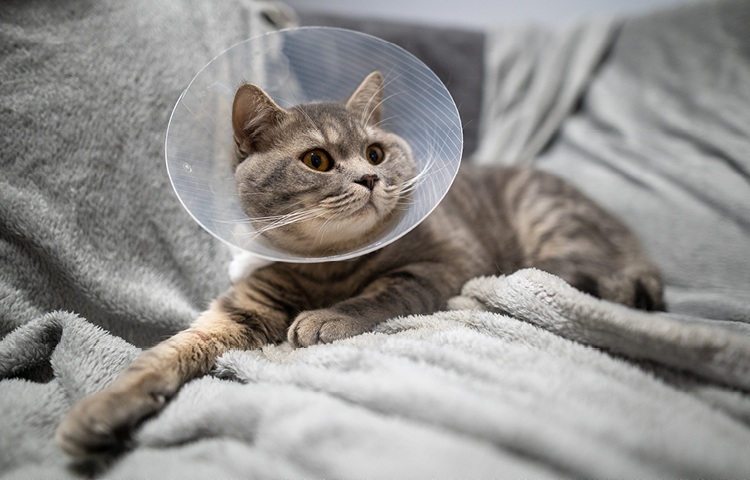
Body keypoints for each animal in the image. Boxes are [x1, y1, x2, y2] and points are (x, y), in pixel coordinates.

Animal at [54, 70, 664, 454]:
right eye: (317, 160)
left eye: (375, 152)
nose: (370, 178)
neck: (327, 265)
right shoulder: (240, 309)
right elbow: (166, 352)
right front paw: (103, 408)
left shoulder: (439, 265)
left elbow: (382, 292)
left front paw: (329, 317)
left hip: (552, 225)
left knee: (564, 277)